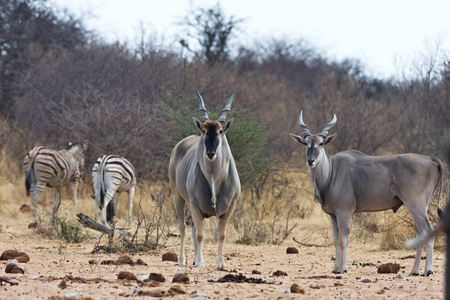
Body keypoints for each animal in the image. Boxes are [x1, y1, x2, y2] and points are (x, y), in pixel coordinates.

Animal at [168, 90, 239, 268]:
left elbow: (221, 234)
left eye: (221, 131)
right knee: (183, 228)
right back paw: (182, 259)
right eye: (205, 131)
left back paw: (194, 259)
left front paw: (220, 263)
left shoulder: (230, 208)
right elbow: (200, 234)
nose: (211, 153)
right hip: (178, 197)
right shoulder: (195, 206)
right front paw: (200, 262)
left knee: (192, 230)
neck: (214, 179)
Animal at [290, 111, 444, 276]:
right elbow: (335, 240)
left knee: (428, 231)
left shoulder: (344, 212)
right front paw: (335, 268)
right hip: (419, 207)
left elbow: (343, 239)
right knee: (420, 234)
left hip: (415, 205)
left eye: (321, 143)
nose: (310, 161)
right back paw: (414, 271)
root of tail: (430, 159)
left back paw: (428, 270)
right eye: (305, 143)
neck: (331, 172)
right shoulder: (333, 215)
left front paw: (343, 268)